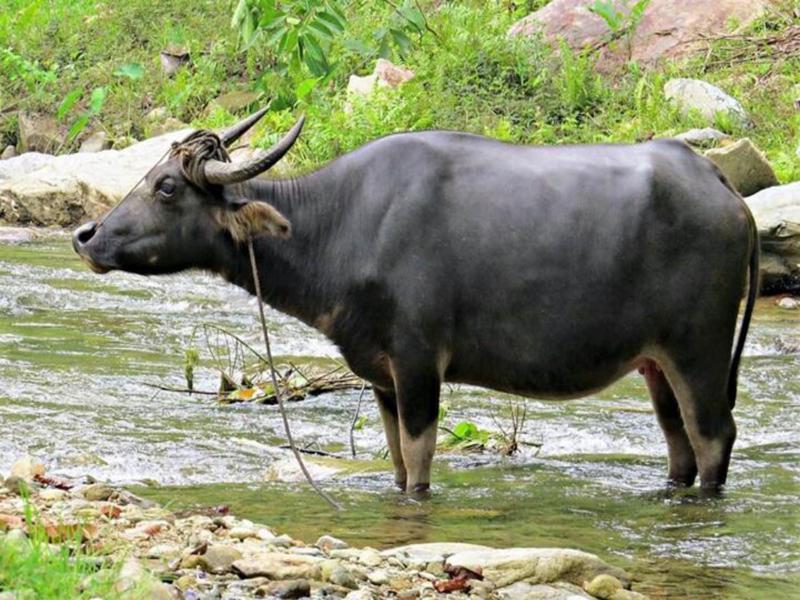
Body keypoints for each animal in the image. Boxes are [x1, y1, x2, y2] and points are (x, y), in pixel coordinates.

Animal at [73, 110, 756, 494]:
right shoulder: (380, 373)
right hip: (656, 362)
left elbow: (421, 461)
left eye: (166, 187)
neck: (344, 224)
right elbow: (397, 458)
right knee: (678, 442)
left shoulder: (418, 363)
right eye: (149, 175)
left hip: (700, 350)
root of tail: (720, 185)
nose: (87, 236)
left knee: (714, 436)